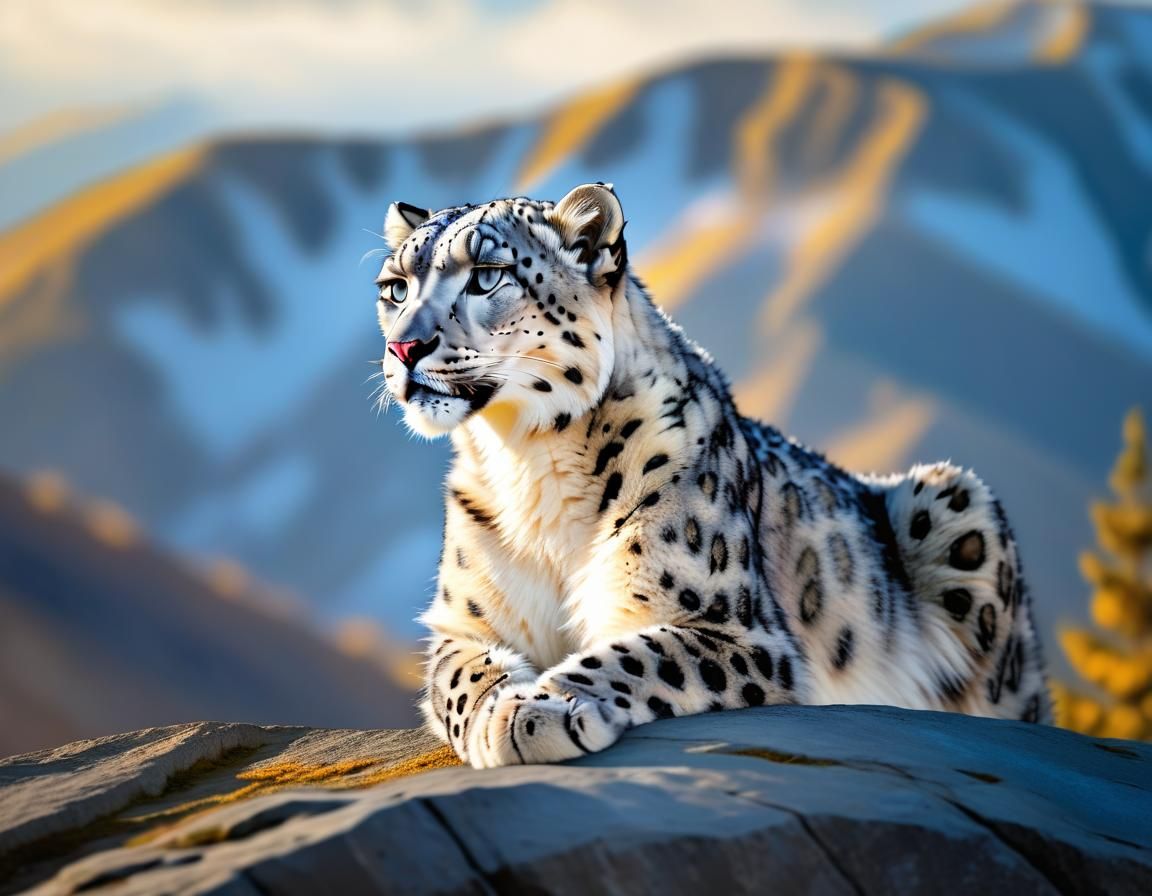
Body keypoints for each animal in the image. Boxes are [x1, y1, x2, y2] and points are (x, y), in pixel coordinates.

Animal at [373, 183, 1051, 769]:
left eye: (487, 275)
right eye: (395, 288)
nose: (404, 348)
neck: (529, 463)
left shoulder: (731, 626)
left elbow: (635, 655)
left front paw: (542, 710)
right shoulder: (462, 620)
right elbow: (461, 677)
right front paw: (507, 711)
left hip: (955, 501)